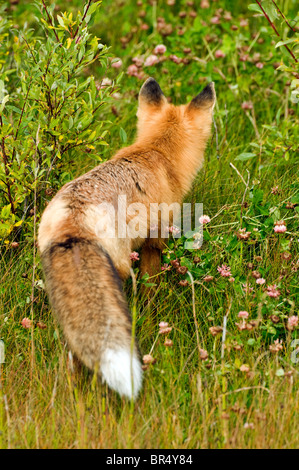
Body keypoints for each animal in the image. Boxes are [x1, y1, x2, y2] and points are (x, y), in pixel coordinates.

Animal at [38, 78, 216, 400]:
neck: (156, 151)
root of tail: (71, 221)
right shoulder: (155, 240)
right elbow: (151, 288)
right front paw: (155, 314)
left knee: (73, 352)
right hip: (119, 270)